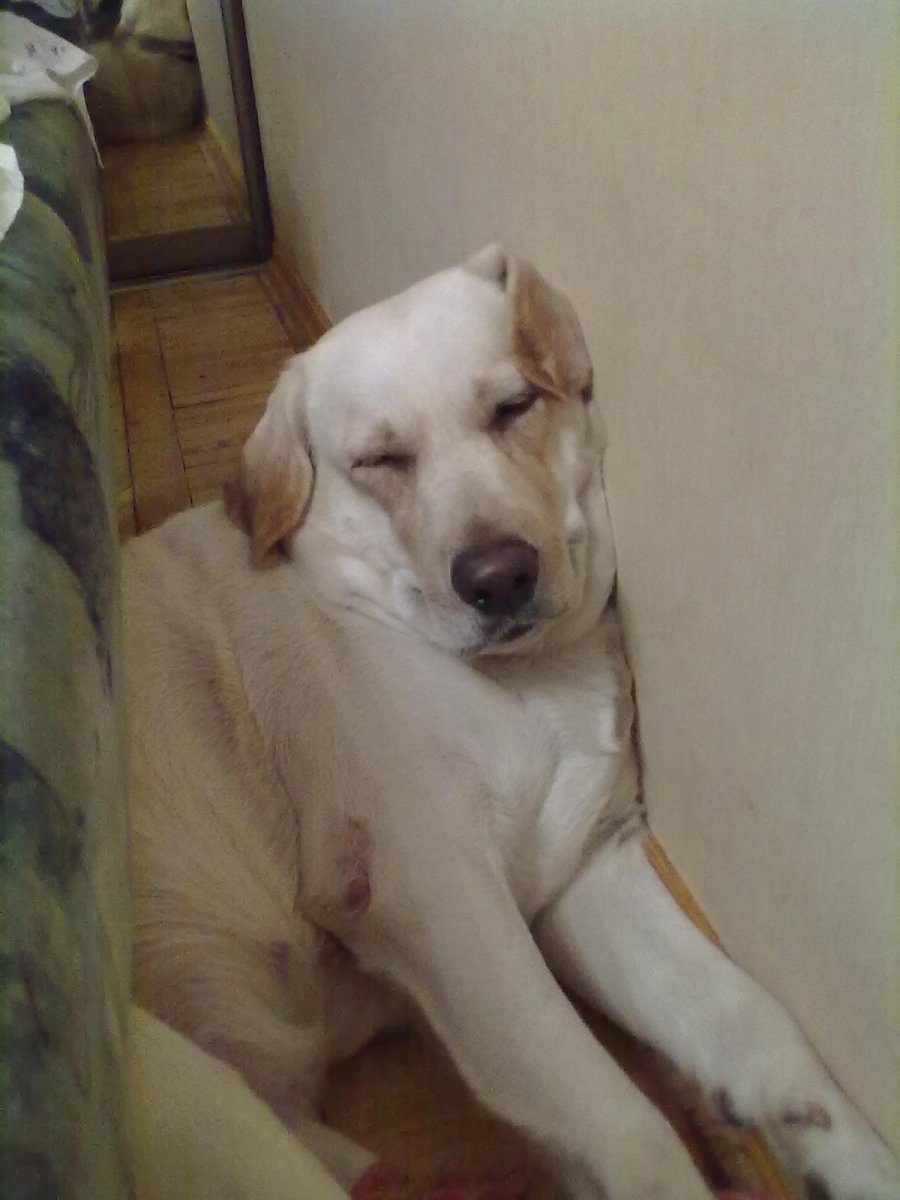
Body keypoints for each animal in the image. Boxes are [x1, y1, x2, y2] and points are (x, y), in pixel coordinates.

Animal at [122, 246, 900, 1200]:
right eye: (379, 459)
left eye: (514, 405)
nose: (499, 577)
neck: (525, 690)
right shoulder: (445, 899)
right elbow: (627, 1127)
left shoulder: (585, 866)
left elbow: (754, 1023)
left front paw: (844, 1152)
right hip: (192, 1092)